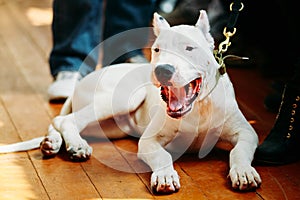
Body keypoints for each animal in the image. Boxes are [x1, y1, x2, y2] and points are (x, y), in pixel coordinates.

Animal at [0, 10, 260, 194]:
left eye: (190, 48)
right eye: (157, 49)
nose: (163, 70)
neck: (199, 108)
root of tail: (79, 85)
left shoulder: (247, 132)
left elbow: (240, 150)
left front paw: (244, 172)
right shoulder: (149, 141)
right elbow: (163, 156)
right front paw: (165, 176)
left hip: (110, 127)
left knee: (59, 121)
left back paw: (51, 143)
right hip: (123, 98)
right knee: (66, 119)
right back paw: (76, 145)